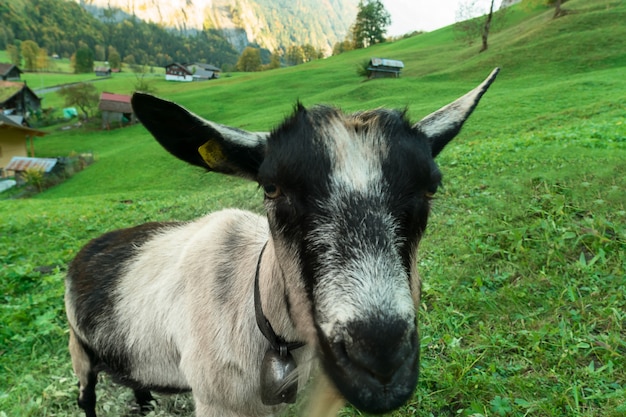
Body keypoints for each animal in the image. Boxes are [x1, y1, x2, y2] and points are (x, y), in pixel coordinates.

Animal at [66, 68, 498, 416]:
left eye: (431, 187)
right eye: (272, 187)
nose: (380, 365)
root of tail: (90, 247)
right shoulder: (216, 402)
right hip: (78, 349)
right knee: (86, 396)